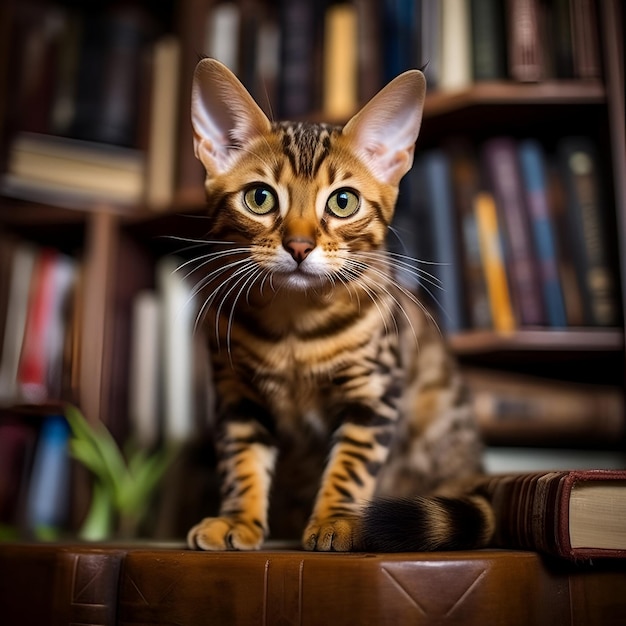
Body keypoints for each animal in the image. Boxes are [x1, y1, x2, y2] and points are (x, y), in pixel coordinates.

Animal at [184, 56, 492, 548]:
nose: (299, 245)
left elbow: (352, 465)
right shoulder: (236, 393)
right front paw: (237, 520)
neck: (293, 325)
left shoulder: (374, 391)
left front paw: (336, 521)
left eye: (343, 202)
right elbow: (240, 460)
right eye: (259, 197)